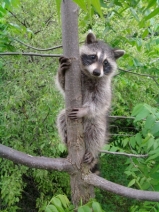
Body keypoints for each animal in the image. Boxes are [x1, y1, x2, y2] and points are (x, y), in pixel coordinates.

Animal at [56, 33, 125, 165]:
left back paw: (92, 150)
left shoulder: (104, 87)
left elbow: (100, 102)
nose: (97, 72)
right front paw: (61, 72)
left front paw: (85, 110)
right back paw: (66, 137)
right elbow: (63, 86)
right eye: (93, 57)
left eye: (105, 63)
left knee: (96, 130)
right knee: (62, 117)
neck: (91, 76)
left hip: (98, 120)